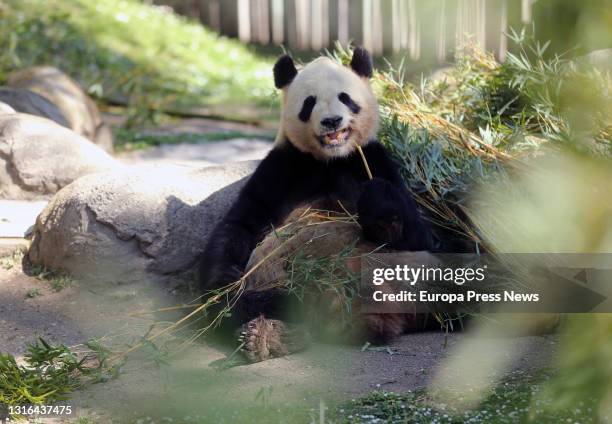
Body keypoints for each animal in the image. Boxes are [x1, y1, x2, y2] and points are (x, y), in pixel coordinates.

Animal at [198, 48, 432, 362]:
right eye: (310, 103)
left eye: (345, 98)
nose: (332, 121)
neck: (331, 159)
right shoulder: (282, 167)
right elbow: (239, 226)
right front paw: (224, 282)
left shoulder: (372, 159)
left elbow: (419, 236)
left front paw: (378, 201)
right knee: (253, 304)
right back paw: (268, 334)